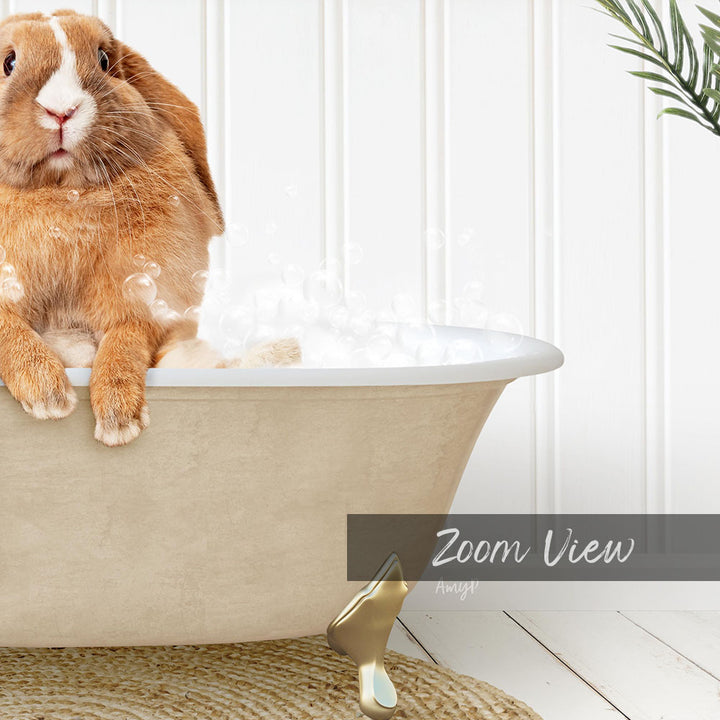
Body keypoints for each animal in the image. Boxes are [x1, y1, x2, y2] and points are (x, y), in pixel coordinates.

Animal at [0, 10, 299, 447]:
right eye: (9, 62)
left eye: (104, 60)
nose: (62, 110)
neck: (61, 192)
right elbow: (9, 330)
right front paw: (49, 394)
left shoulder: (142, 298)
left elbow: (126, 340)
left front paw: (118, 418)